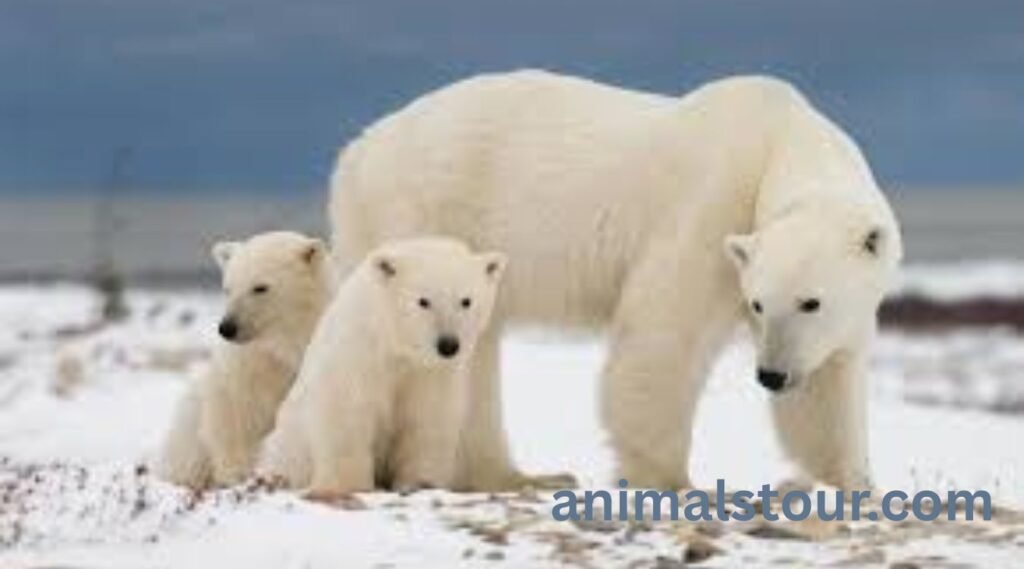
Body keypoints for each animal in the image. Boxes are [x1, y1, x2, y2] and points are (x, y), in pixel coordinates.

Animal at [153, 231, 334, 489]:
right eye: (227, 288)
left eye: (260, 287)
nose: (227, 328)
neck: (285, 349)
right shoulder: (248, 368)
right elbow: (235, 415)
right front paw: (238, 474)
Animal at [259, 237, 506, 495]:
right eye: (423, 301)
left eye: (466, 301)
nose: (448, 345)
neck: (398, 346)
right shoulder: (360, 354)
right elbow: (346, 413)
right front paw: (347, 484)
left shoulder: (431, 374)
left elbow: (426, 421)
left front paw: (419, 482)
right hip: (287, 447)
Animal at [326, 70, 902, 492]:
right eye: (759, 303)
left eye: (811, 302)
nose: (771, 375)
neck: (779, 140)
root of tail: (357, 149)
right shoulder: (709, 208)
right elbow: (665, 333)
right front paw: (671, 479)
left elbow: (828, 384)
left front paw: (858, 482)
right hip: (421, 209)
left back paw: (518, 476)